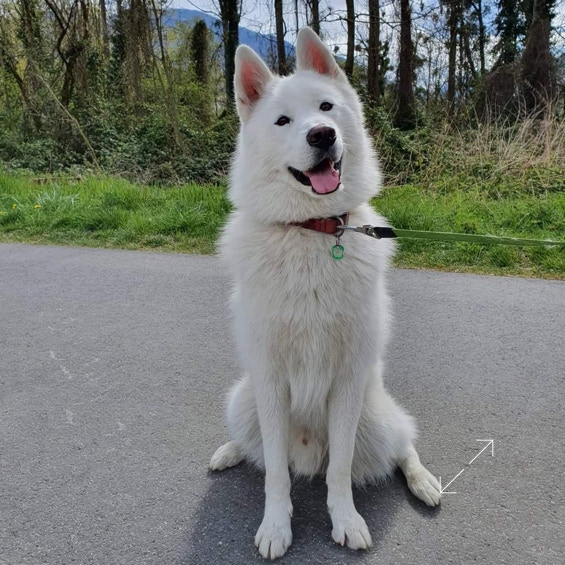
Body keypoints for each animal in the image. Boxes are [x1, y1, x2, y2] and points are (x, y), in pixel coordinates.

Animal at [209, 27, 441, 559]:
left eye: (326, 107)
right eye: (282, 120)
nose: (321, 134)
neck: (313, 233)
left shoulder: (347, 382)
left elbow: (340, 470)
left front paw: (346, 520)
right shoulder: (271, 382)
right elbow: (275, 471)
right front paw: (276, 525)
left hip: (376, 416)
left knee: (404, 444)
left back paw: (423, 481)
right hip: (244, 398)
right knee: (255, 447)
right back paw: (230, 450)